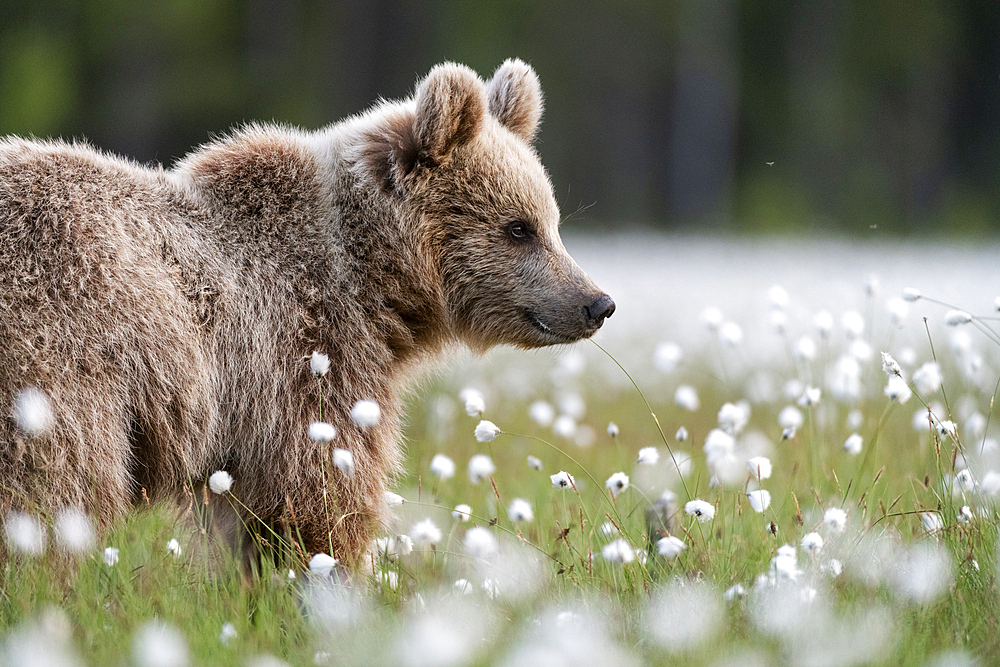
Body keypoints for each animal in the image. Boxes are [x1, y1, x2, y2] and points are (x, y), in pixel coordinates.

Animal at [0, 60, 608, 568]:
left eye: (552, 220)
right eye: (518, 227)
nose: (596, 303)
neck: (374, 281)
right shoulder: (304, 354)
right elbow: (321, 496)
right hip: (64, 358)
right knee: (53, 490)